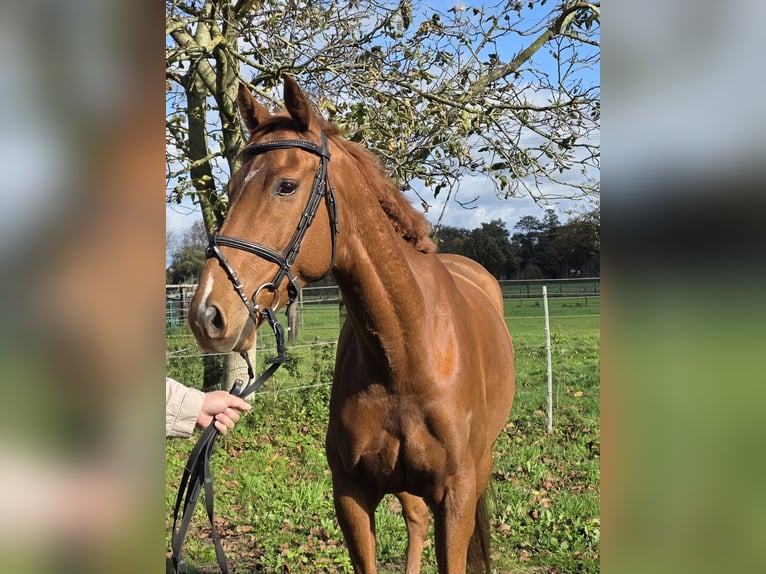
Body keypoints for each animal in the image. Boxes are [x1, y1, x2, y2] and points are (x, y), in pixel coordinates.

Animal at [188, 75, 515, 574]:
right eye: (231, 186)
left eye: (285, 186)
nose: (207, 314)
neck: (404, 354)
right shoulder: (351, 496)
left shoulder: (456, 499)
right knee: (415, 518)